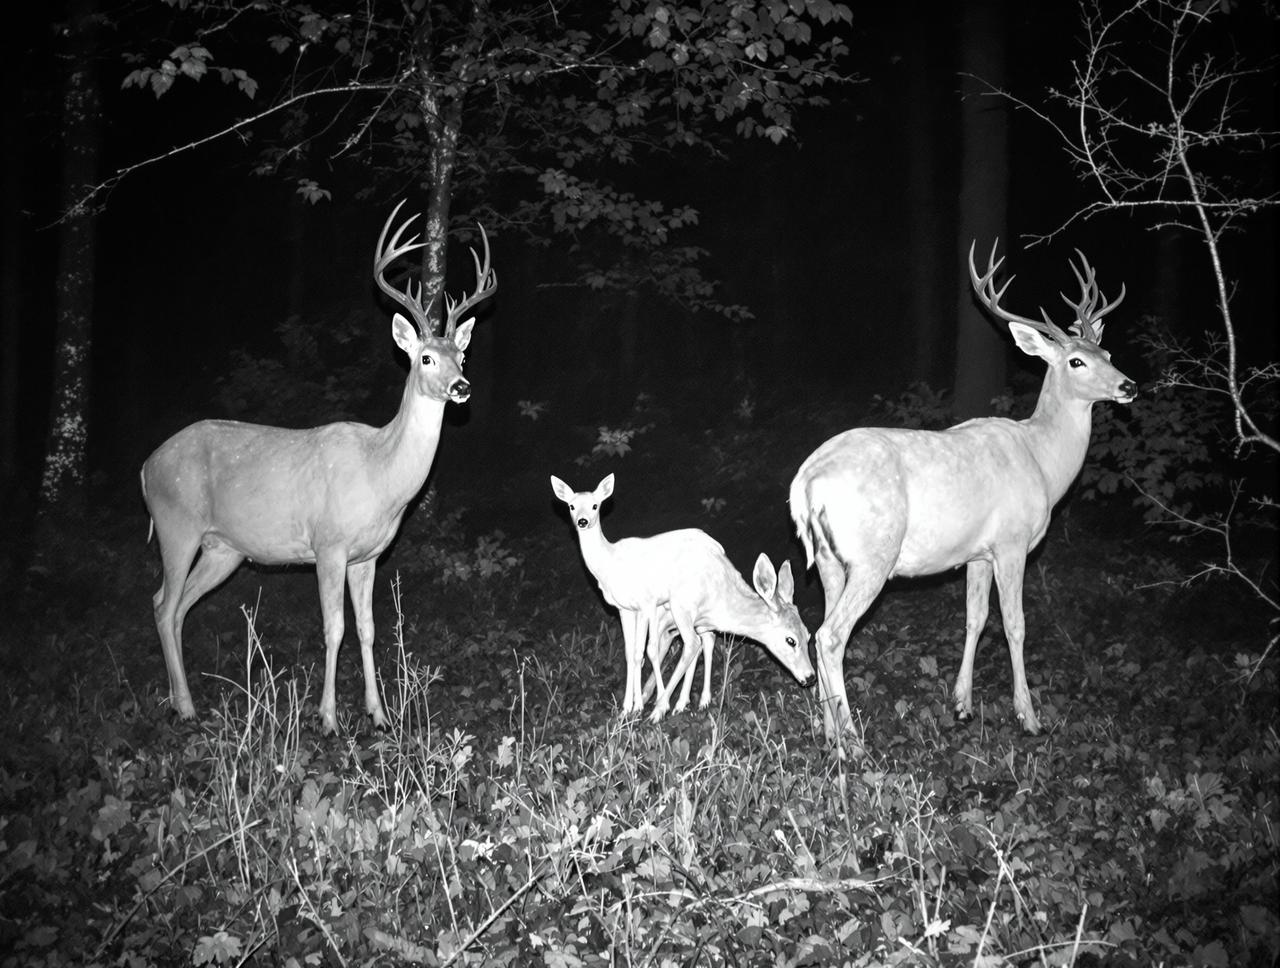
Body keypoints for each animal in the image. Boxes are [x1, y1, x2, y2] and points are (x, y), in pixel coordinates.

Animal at [140, 201, 497, 734]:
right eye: (426, 358)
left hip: (223, 548)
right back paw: (184, 705)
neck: (382, 475)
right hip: (175, 525)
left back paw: (180, 699)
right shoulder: (329, 545)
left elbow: (368, 629)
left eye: (463, 354)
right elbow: (334, 628)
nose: (462, 387)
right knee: (163, 604)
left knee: (178, 606)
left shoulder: (369, 556)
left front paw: (379, 714)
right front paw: (327, 717)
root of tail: (146, 467)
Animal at [550, 473, 815, 722]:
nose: (811, 677)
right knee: (695, 643)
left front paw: (648, 705)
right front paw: (630, 707)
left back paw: (668, 704)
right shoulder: (629, 609)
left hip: (679, 609)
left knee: (693, 644)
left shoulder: (652, 605)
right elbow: (633, 653)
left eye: (807, 635)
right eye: (791, 640)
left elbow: (646, 651)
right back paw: (673, 701)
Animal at [789, 241, 1136, 749]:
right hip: (874, 554)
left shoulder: (977, 552)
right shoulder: (1013, 542)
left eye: (1106, 350)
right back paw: (852, 742)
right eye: (1076, 361)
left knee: (817, 630)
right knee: (832, 636)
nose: (1129, 385)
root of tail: (805, 482)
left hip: (830, 560)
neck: (1044, 460)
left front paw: (962, 704)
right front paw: (1028, 716)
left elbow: (975, 617)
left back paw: (830, 733)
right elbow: (1015, 624)